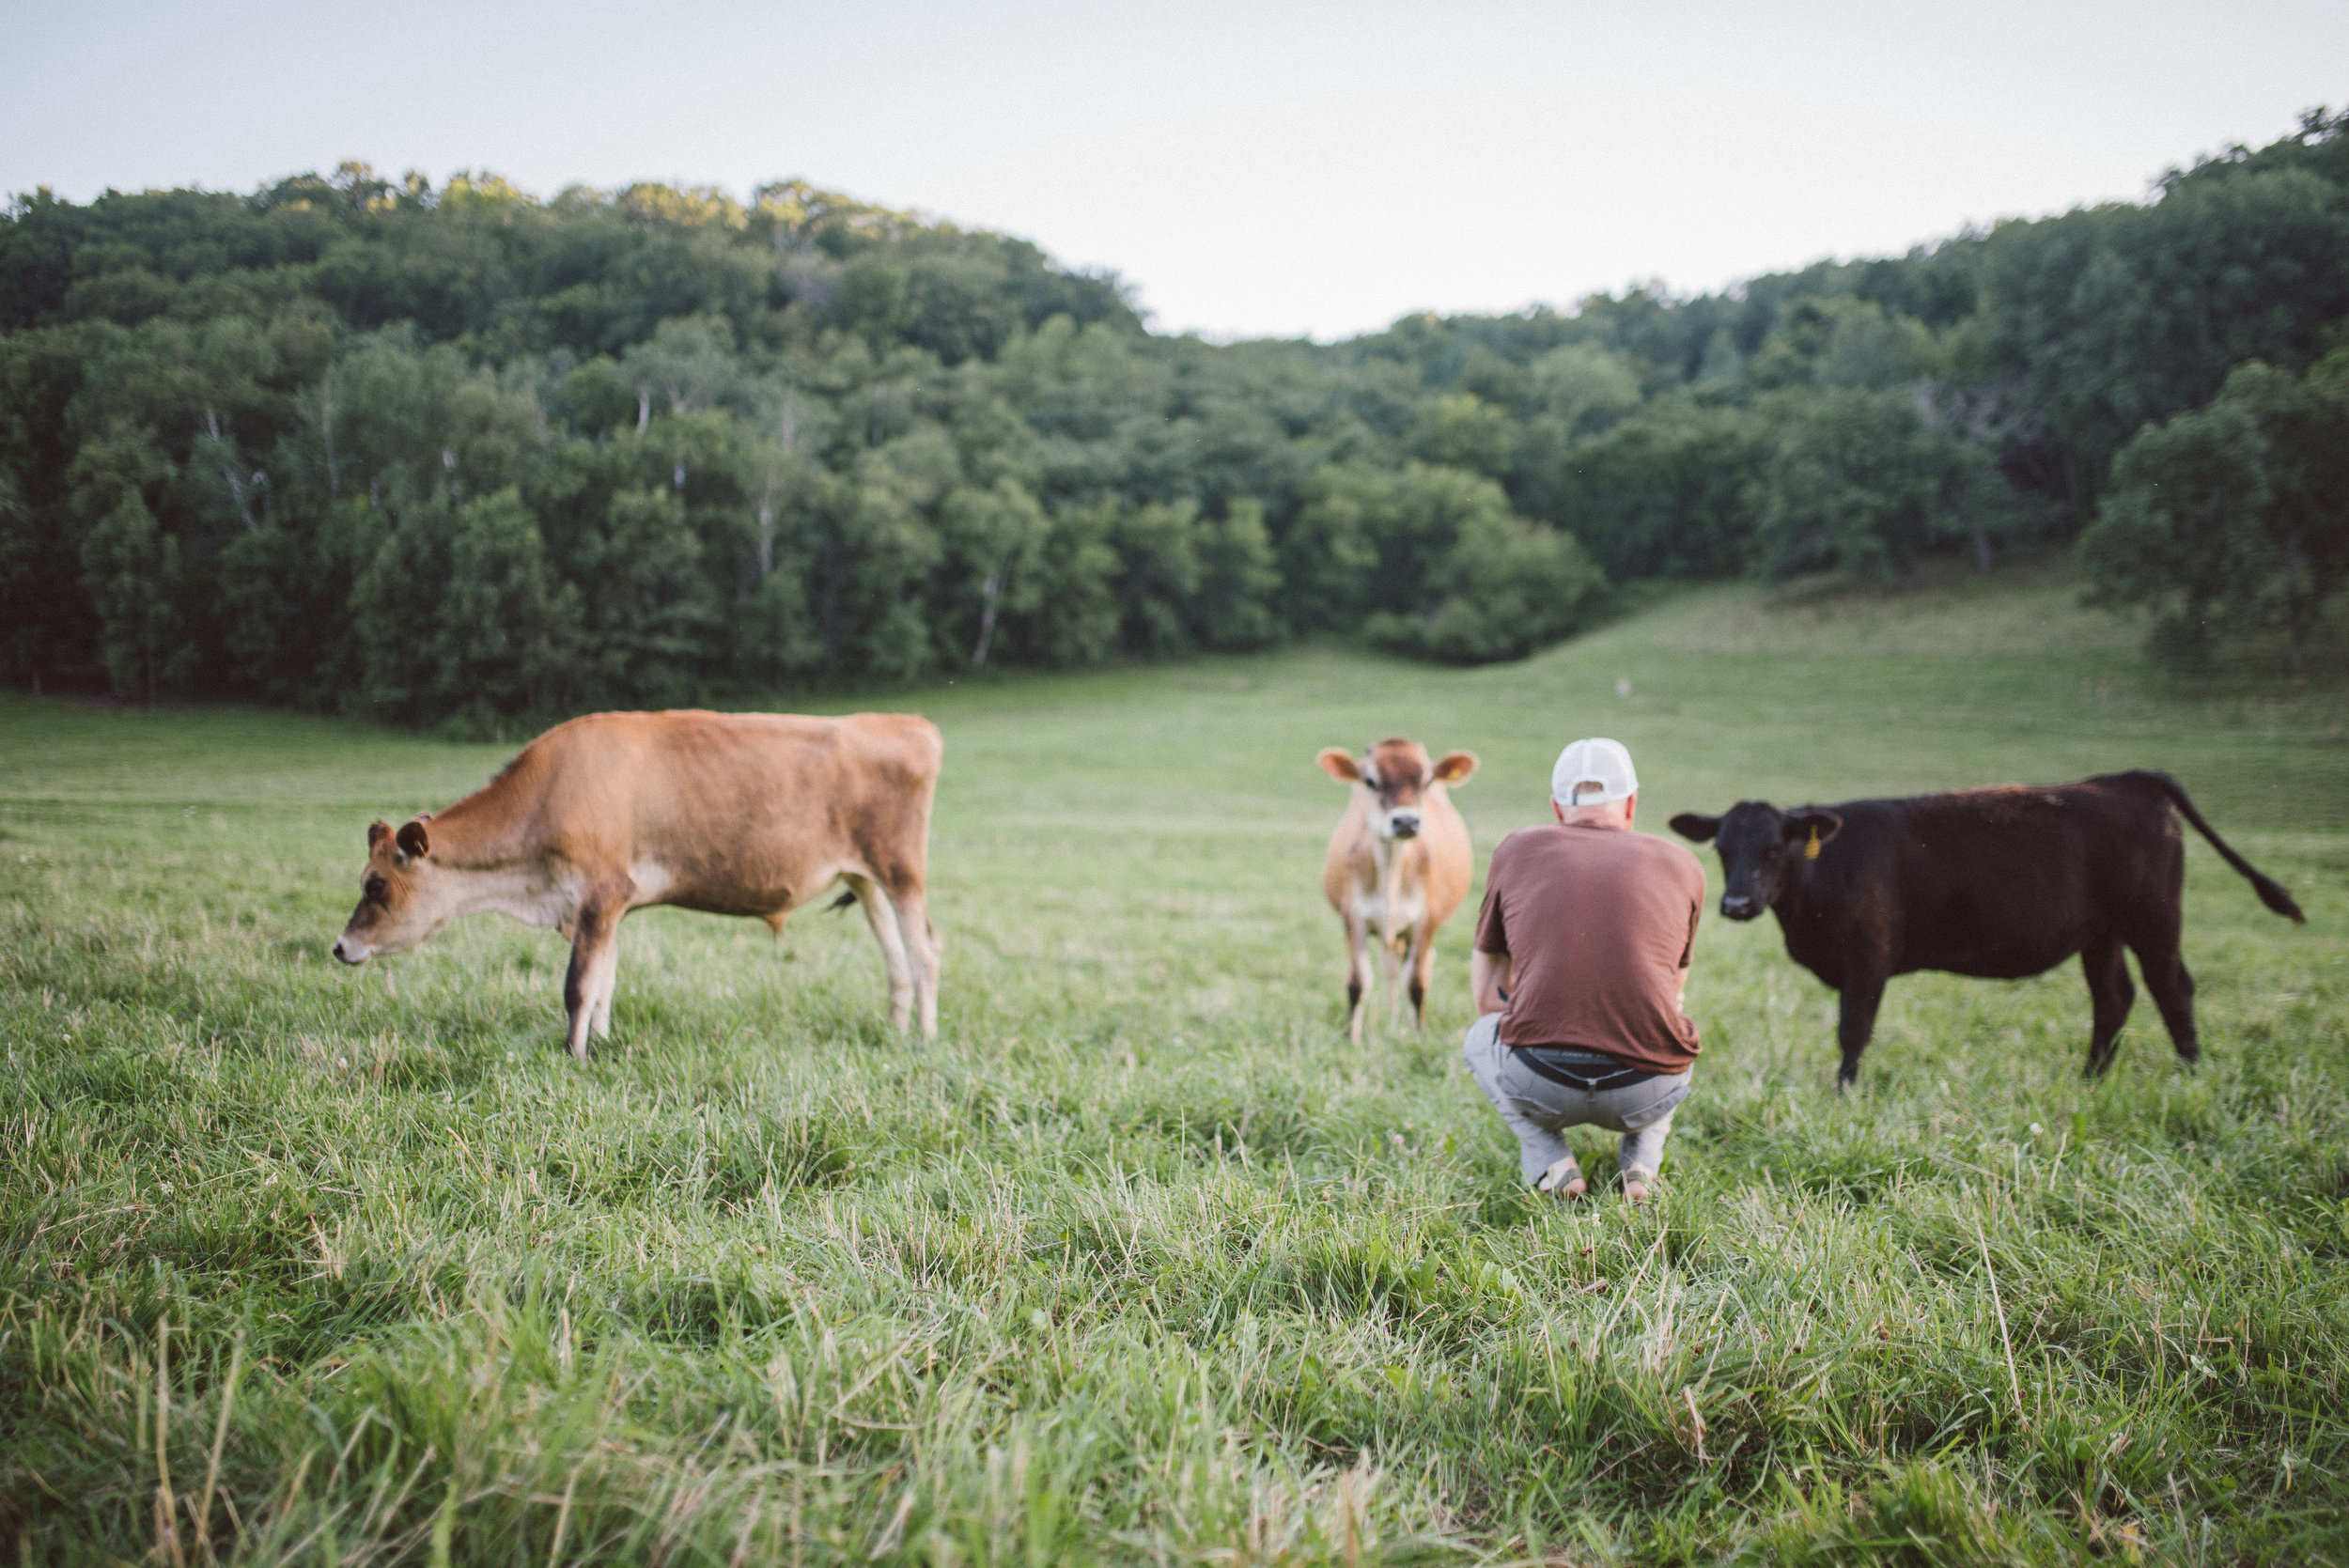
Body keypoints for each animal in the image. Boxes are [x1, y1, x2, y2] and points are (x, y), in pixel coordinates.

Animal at [329, 708, 944, 1051]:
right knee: (895, 958)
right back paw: (894, 1030)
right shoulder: (603, 906)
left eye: (375, 884)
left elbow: (579, 983)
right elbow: (605, 980)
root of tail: (907, 724)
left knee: (924, 953)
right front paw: (602, 1044)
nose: (339, 946)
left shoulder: (601, 893)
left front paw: (573, 1055)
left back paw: (923, 1041)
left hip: (902, 870)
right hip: (864, 877)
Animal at [1315, 737, 1475, 1042]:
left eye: (1426, 781)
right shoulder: (1353, 916)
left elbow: (1415, 982)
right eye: (1370, 781)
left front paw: (1420, 1037)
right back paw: (1392, 1017)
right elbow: (1358, 982)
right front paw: (1352, 1039)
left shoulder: (1426, 919)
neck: (1391, 866)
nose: (1405, 822)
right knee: (1389, 967)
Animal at [1672, 769, 2311, 1089]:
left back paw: (2190, 1077)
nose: (1736, 903)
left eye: (1775, 848)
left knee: (2173, 989)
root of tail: (2131, 777)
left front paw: (1844, 1092)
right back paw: (2089, 1081)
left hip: (2152, 917)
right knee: (2114, 998)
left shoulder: (1869, 958)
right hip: (2100, 933)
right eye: (1722, 849)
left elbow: (1853, 1031)